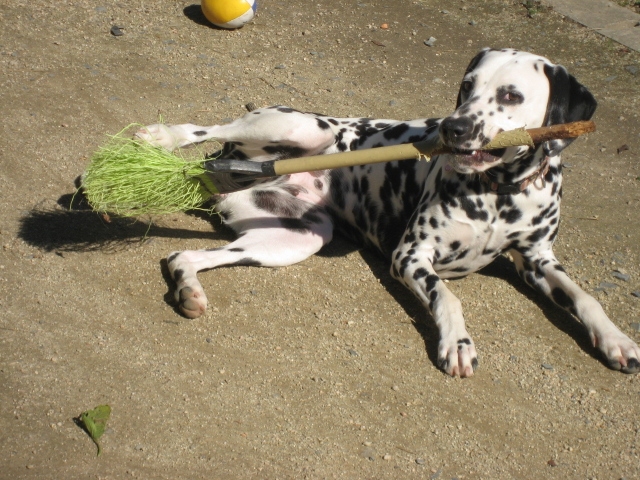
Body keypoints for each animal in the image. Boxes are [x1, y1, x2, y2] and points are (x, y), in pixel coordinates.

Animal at [138, 49, 636, 378]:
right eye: (466, 87)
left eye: (511, 95)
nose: (452, 128)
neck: (499, 192)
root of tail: (227, 169)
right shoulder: (411, 256)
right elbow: (448, 296)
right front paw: (457, 342)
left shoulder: (537, 260)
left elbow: (585, 297)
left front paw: (615, 339)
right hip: (299, 126)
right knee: (206, 128)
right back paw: (161, 137)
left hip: (293, 240)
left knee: (183, 256)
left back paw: (190, 290)